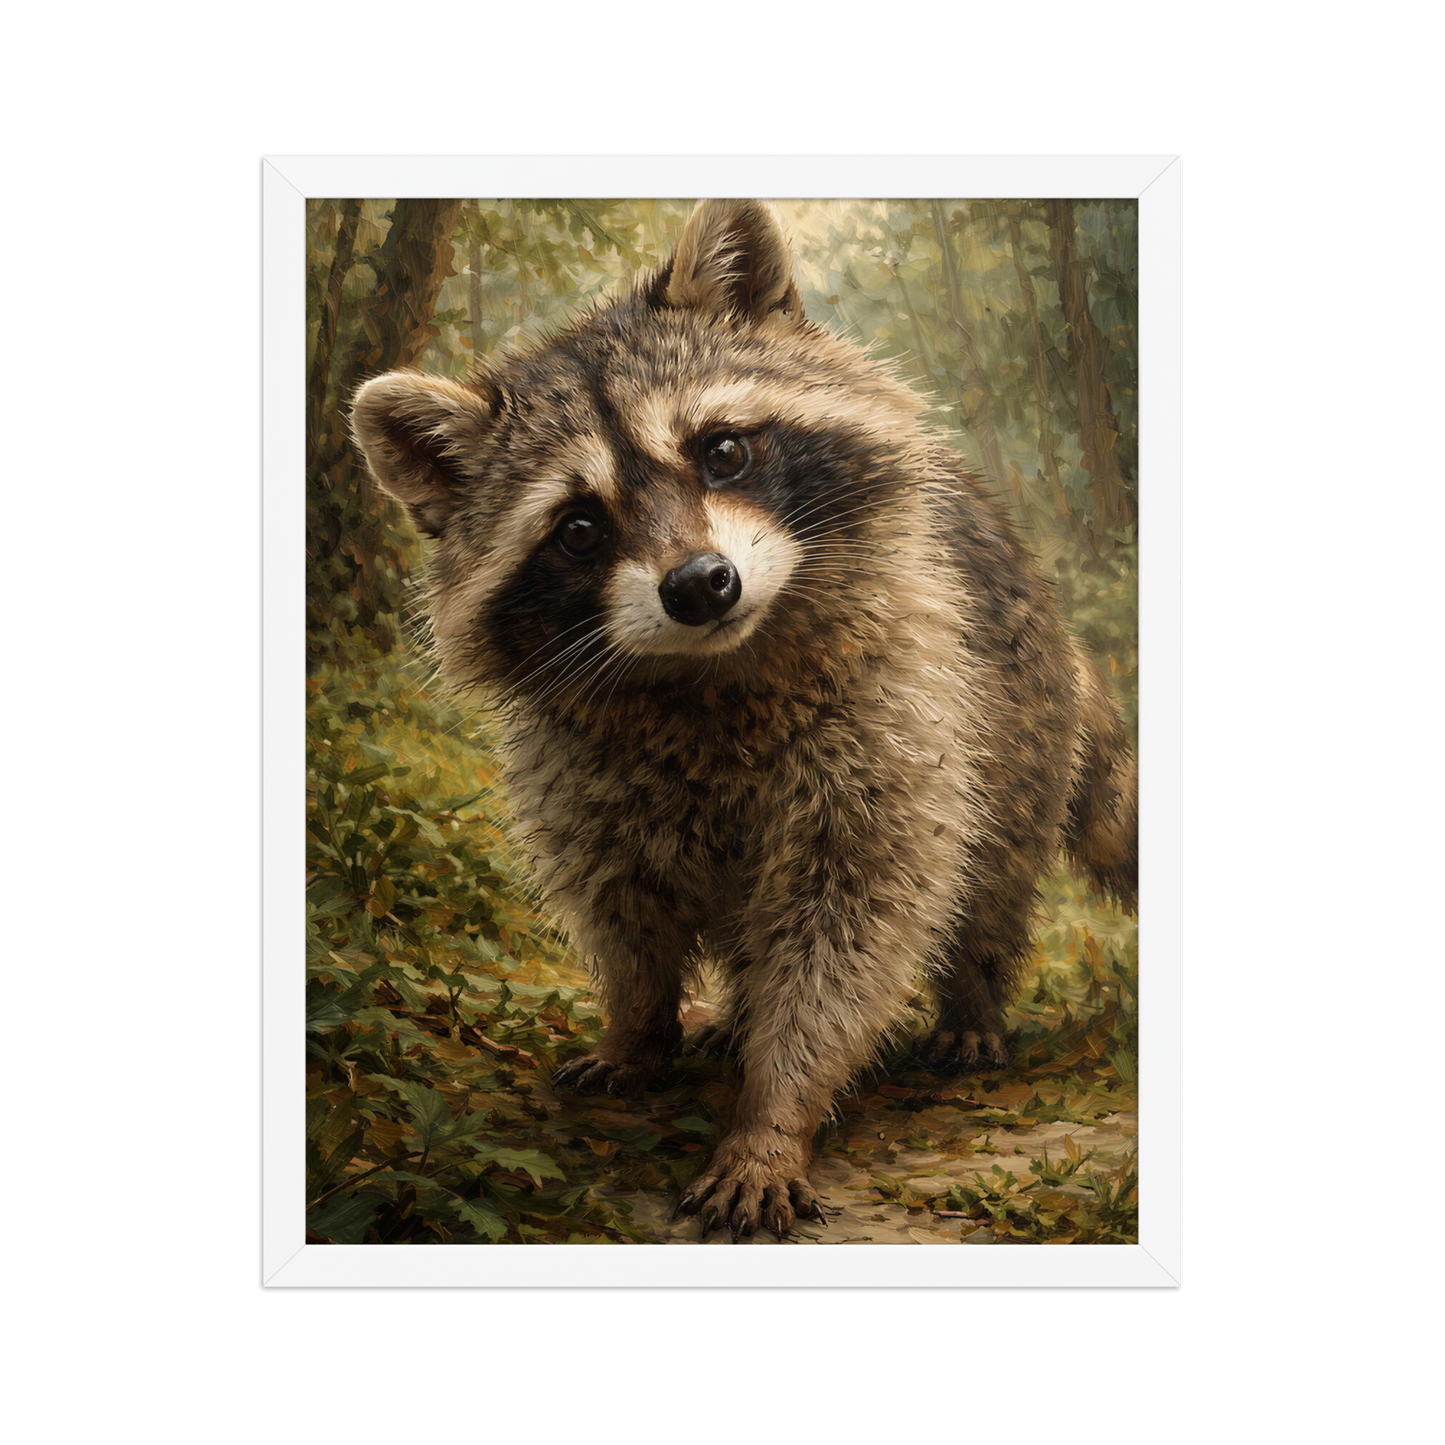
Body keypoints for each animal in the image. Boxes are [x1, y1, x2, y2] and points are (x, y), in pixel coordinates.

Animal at [351, 199, 1137, 1240]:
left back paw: (970, 996)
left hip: (1016, 718)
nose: (699, 584)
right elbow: (622, 909)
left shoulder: (896, 714)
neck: (709, 673)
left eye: (721, 450)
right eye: (578, 528)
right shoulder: (577, 768)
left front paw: (774, 1112)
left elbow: (850, 929)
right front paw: (638, 1025)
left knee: (992, 874)